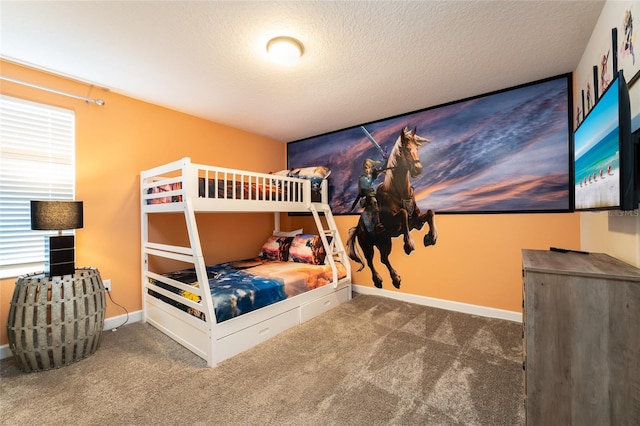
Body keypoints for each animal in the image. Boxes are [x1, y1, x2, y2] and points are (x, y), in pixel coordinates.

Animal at [348, 126, 438, 290]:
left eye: (417, 148)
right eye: (406, 149)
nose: (418, 169)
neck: (398, 191)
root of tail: (357, 228)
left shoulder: (415, 221)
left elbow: (429, 213)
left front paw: (431, 237)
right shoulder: (394, 224)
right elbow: (403, 213)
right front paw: (409, 245)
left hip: (384, 241)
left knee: (384, 258)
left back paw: (395, 278)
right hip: (368, 246)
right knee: (371, 261)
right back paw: (379, 280)